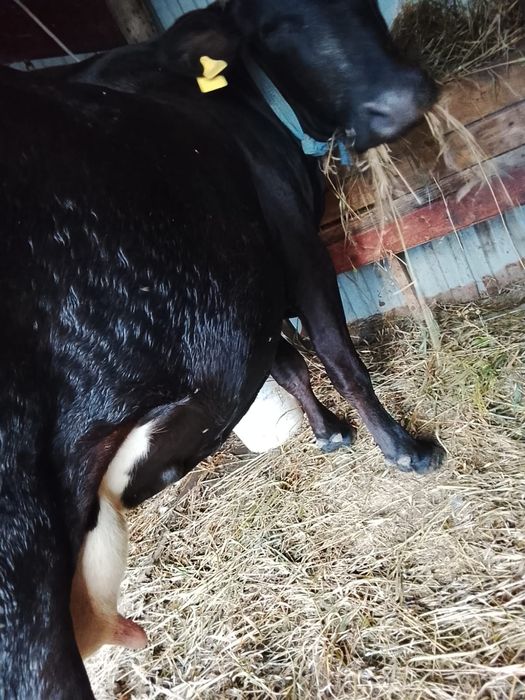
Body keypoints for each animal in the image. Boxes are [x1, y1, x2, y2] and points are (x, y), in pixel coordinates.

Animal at [0, 0, 442, 696]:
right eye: (273, 26)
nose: (400, 104)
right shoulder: (294, 243)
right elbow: (335, 354)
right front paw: (403, 449)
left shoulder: (247, 298)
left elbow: (287, 365)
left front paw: (327, 433)